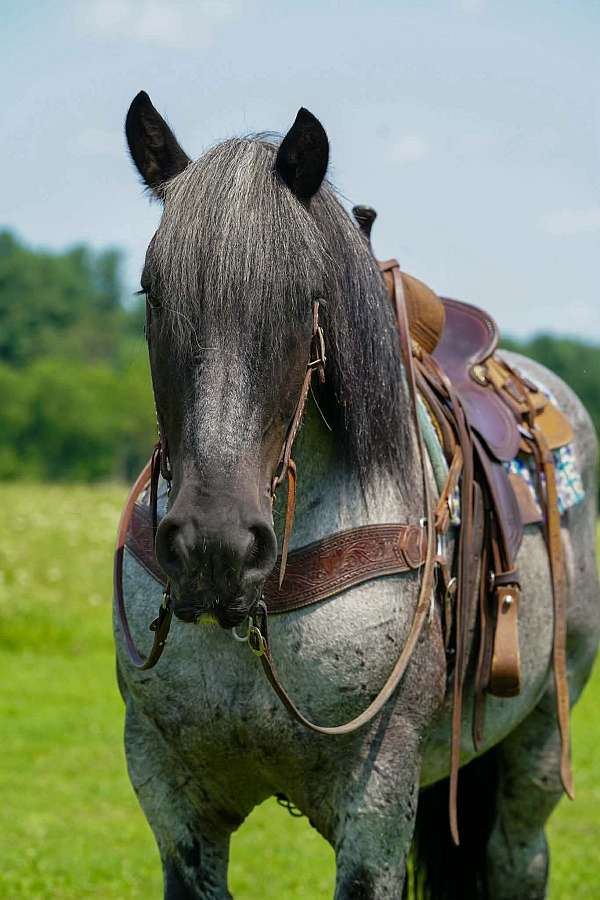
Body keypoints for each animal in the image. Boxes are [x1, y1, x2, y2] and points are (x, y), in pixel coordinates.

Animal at [115, 90, 599, 899]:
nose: (215, 548)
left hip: (534, 747)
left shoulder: (377, 804)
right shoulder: (170, 797)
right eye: (152, 293)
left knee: (518, 858)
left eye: (301, 300)